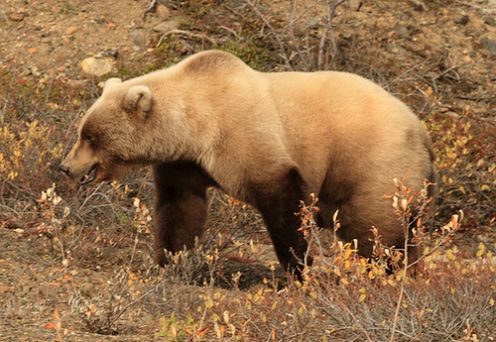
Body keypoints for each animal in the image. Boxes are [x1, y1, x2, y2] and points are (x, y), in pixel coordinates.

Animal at [61, 49, 434, 280]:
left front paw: (300, 268)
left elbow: (282, 197)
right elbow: (180, 209)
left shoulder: (244, 135)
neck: (195, 124)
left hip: (371, 162)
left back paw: (389, 273)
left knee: (372, 227)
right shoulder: (184, 163)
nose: (65, 167)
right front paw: (169, 261)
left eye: (90, 136)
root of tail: (421, 130)